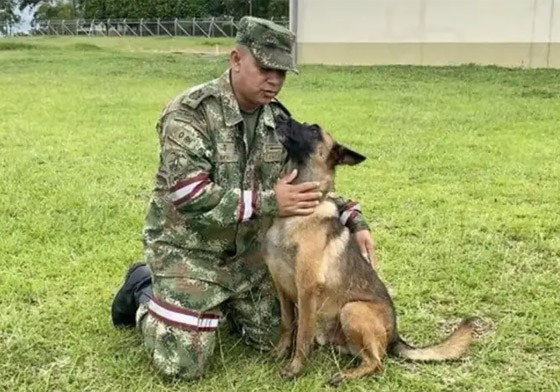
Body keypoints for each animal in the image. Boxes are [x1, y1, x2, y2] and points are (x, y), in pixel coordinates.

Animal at [264, 116, 476, 386]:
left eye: (313, 130)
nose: (279, 117)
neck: (297, 214)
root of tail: (395, 335)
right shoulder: (281, 287)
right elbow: (287, 324)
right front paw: (280, 352)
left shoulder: (307, 289)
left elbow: (302, 335)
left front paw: (295, 369)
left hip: (352, 309)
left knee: (377, 362)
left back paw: (345, 375)